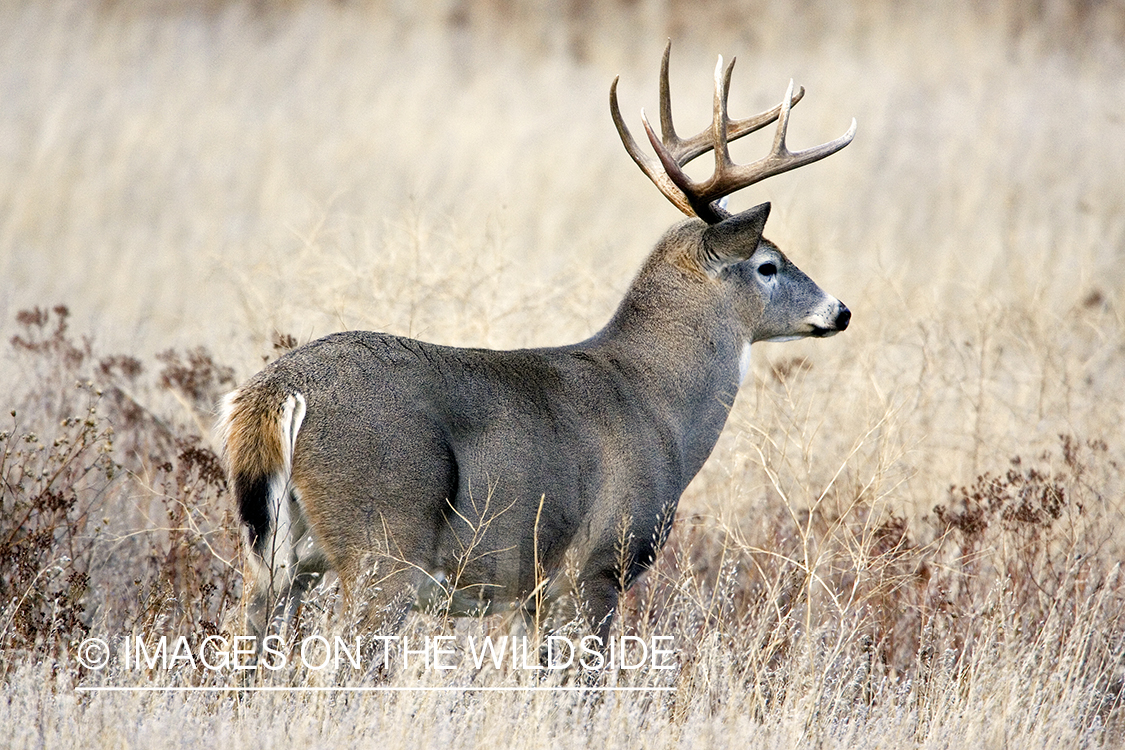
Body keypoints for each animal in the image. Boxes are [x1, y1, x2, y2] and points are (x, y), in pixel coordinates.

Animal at [217, 44, 850, 647]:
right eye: (768, 265)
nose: (840, 311)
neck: (657, 404)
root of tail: (273, 394)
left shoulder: (531, 595)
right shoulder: (597, 566)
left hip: (276, 561)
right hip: (383, 543)